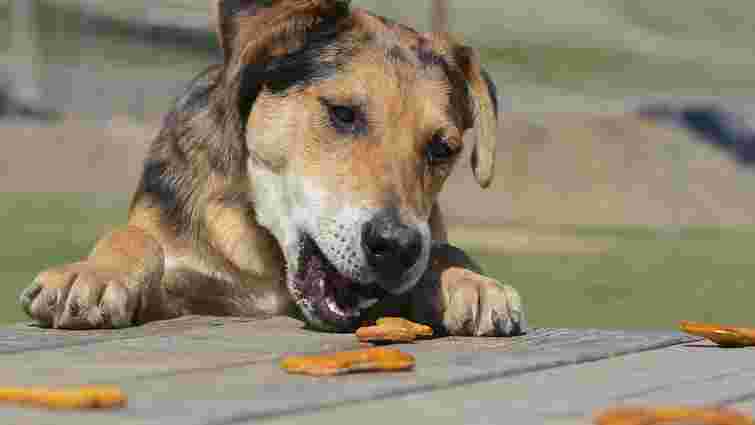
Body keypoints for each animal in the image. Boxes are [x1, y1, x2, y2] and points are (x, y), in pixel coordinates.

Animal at [19, 0, 525, 336]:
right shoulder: (182, 294)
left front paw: (473, 283)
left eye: (443, 148)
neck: (269, 258)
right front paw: (94, 274)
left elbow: (441, 249)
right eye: (343, 113)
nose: (397, 247)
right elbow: (134, 236)